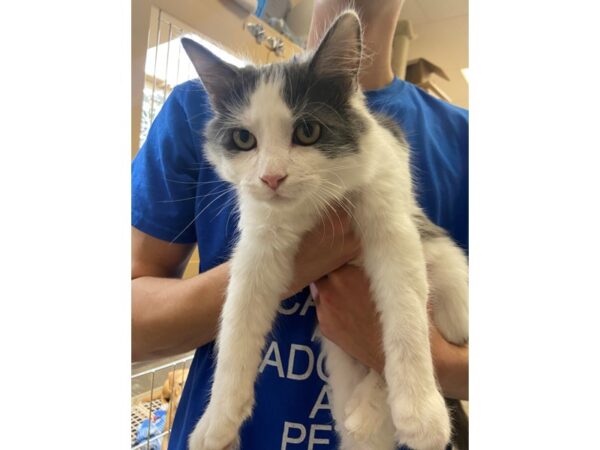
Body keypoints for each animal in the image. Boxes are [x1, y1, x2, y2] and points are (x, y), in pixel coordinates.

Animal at [182, 9, 468, 450]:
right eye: (243, 139)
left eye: (308, 132)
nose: (272, 178)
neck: (315, 205)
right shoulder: (259, 247)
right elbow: (235, 325)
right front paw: (217, 421)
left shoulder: (392, 224)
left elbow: (406, 317)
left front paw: (422, 413)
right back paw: (363, 416)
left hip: (436, 256)